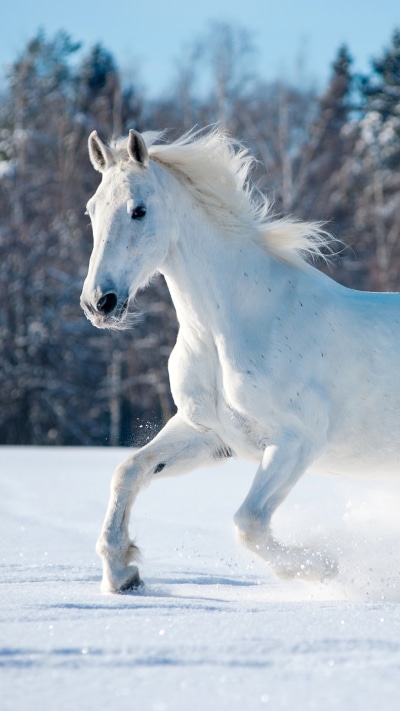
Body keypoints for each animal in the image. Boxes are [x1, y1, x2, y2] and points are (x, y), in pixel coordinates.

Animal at [81, 126, 400, 593]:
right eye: (91, 210)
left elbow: (248, 523)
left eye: (138, 210)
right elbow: (128, 471)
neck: (233, 329)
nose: (98, 303)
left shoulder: (296, 443)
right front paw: (122, 573)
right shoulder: (208, 434)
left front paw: (324, 568)